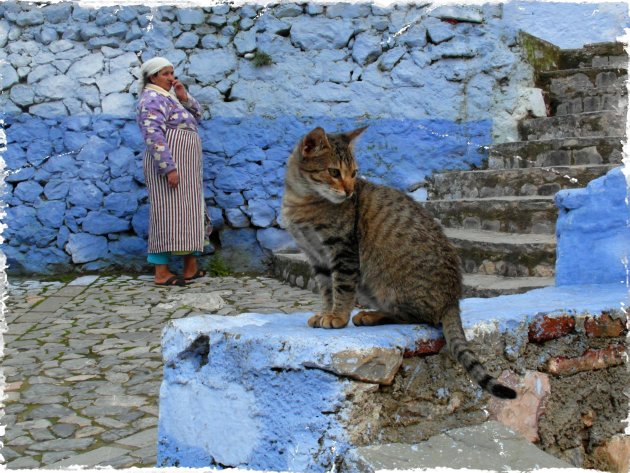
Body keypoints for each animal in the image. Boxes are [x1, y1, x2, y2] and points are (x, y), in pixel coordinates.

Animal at [282, 126, 520, 398]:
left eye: (354, 173)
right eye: (333, 172)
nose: (350, 191)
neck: (302, 201)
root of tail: (453, 299)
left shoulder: (343, 251)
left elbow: (341, 289)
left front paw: (337, 317)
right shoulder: (316, 257)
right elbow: (326, 290)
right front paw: (326, 312)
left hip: (390, 286)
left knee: (415, 316)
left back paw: (371, 316)